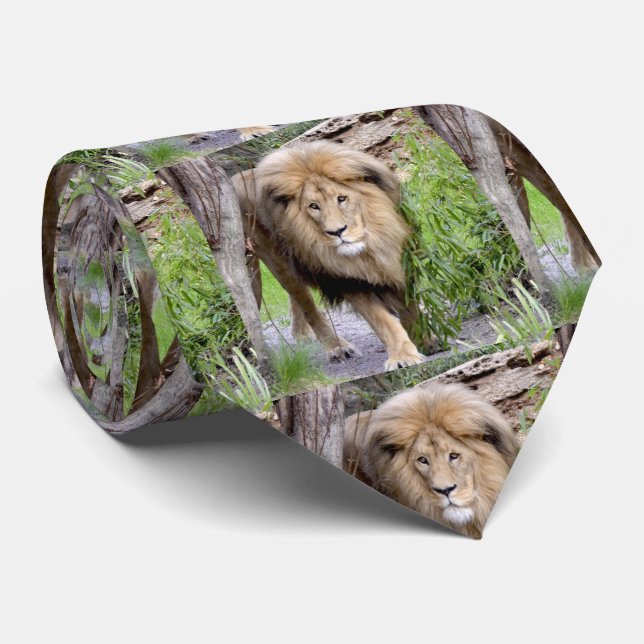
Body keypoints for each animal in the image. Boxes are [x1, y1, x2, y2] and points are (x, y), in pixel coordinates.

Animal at [232, 141, 427, 370]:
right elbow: (382, 319)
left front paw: (426, 340)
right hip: (275, 258)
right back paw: (337, 348)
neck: (370, 247)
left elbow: (408, 305)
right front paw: (403, 356)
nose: (337, 232)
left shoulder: (401, 257)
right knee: (305, 302)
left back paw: (301, 333)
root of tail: (236, 179)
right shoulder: (347, 279)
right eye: (313, 206)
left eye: (341, 198)